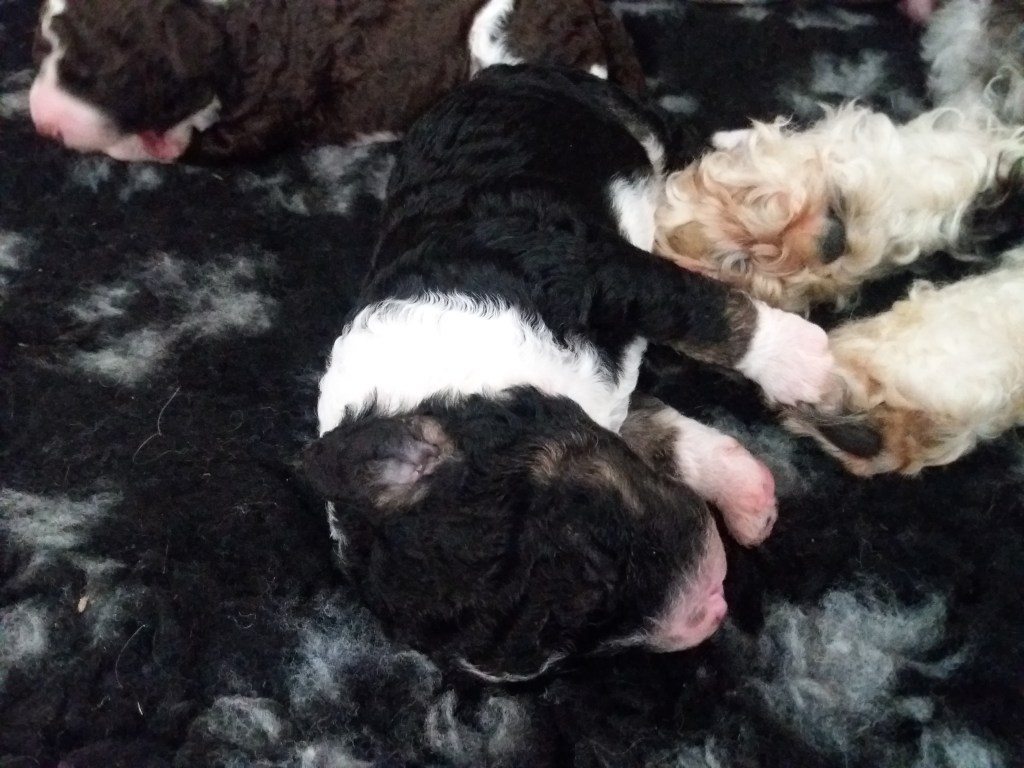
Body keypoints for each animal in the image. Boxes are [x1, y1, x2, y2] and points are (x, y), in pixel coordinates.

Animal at [300, 65, 835, 681]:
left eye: (593, 565)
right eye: (560, 656)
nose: (709, 612)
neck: (457, 371)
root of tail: (492, 73)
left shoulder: (600, 272)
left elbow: (707, 312)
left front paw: (801, 359)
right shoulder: (590, 410)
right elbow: (652, 429)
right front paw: (745, 492)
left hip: (626, 119)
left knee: (683, 146)